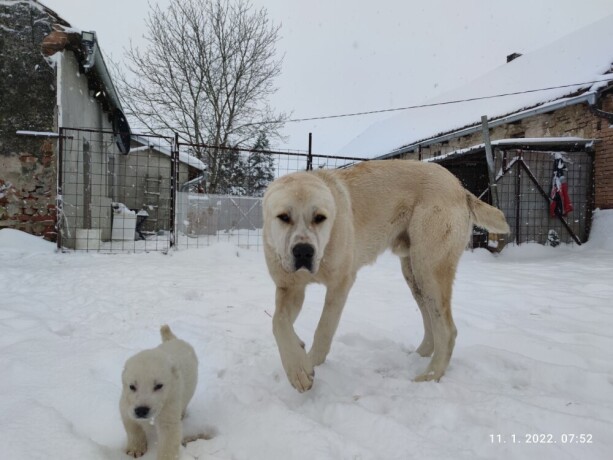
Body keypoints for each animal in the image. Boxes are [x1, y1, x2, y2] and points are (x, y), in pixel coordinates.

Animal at [118, 326, 197, 458]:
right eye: (132, 386)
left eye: (158, 386)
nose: (141, 410)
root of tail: (175, 340)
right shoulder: (126, 401)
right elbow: (130, 422)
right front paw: (135, 449)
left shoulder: (170, 400)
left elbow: (169, 433)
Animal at [260, 161, 510, 392]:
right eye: (283, 217)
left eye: (320, 217)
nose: (303, 251)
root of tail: (459, 187)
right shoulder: (289, 288)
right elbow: (277, 322)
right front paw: (297, 363)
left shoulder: (340, 285)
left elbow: (324, 329)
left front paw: (308, 365)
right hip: (413, 274)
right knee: (431, 322)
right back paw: (417, 356)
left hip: (429, 267)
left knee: (448, 331)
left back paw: (429, 376)